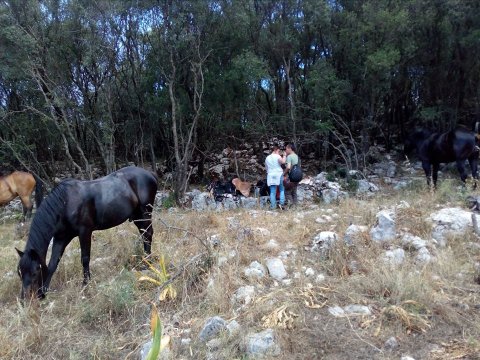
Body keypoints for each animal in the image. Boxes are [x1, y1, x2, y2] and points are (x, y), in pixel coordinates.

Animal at [15, 166, 157, 298]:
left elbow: (85, 258)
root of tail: (150, 174)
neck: (65, 203)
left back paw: (148, 263)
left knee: (148, 234)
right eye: (20, 272)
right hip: (137, 216)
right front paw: (44, 291)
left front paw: (85, 284)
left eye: (34, 272)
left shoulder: (85, 232)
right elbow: (53, 263)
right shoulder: (61, 238)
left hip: (145, 213)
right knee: (144, 234)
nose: (25, 298)